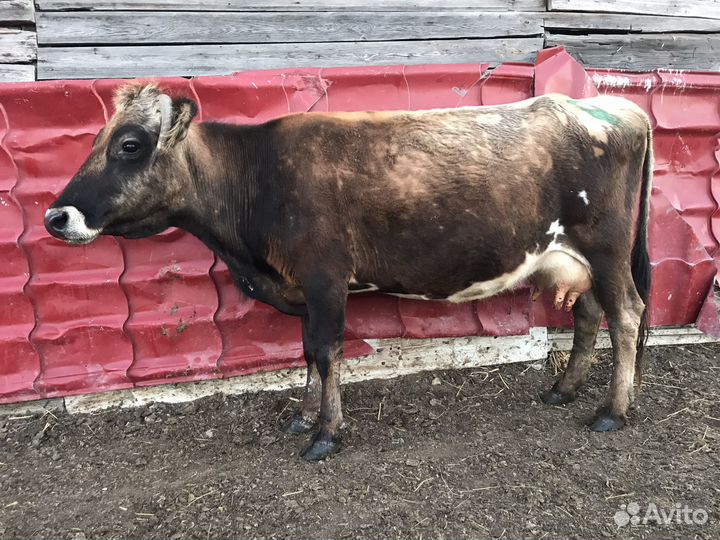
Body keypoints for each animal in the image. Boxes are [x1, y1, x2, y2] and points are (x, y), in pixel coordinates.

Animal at [45, 83, 652, 461]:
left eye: (130, 144)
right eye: (96, 140)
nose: (56, 216)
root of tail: (614, 107)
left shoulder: (324, 278)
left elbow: (327, 349)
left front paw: (325, 434)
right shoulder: (301, 285)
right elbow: (307, 351)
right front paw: (301, 415)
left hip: (606, 249)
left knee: (626, 314)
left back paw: (611, 411)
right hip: (571, 258)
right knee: (590, 316)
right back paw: (563, 390)